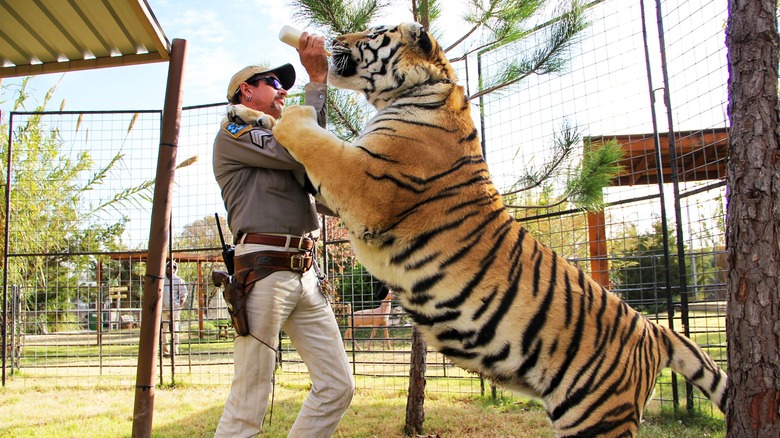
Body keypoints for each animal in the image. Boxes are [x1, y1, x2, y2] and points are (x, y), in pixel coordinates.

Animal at [272, 22, 728, 436]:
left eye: (372, 32)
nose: (332, 40)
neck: (418, 89)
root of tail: (654, 330)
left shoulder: (367, 184)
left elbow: (316, 142)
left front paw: (286, 114)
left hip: (597, 416)